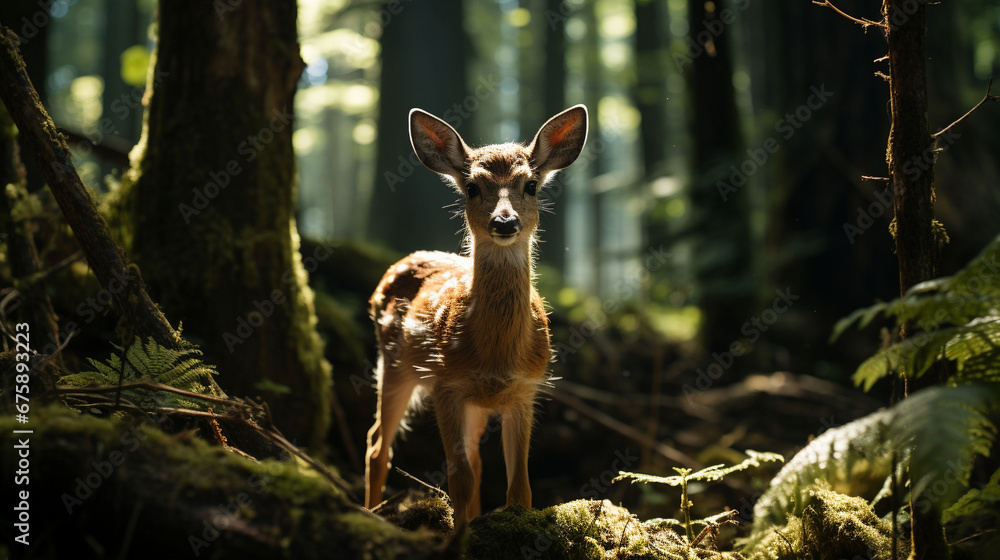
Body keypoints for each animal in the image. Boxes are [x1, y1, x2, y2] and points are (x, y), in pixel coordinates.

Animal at [364, 105, 588, 527]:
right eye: (471, 187)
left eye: (531, 185)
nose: (505, 221)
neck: (495, 354)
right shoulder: (445, 384)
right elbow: (458, 477)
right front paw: (460, 532)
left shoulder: (525, 390)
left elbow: (519, 486)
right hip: (394, 364)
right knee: (377, 444)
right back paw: (370, 511)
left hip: (473, 403)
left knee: (475, 459)